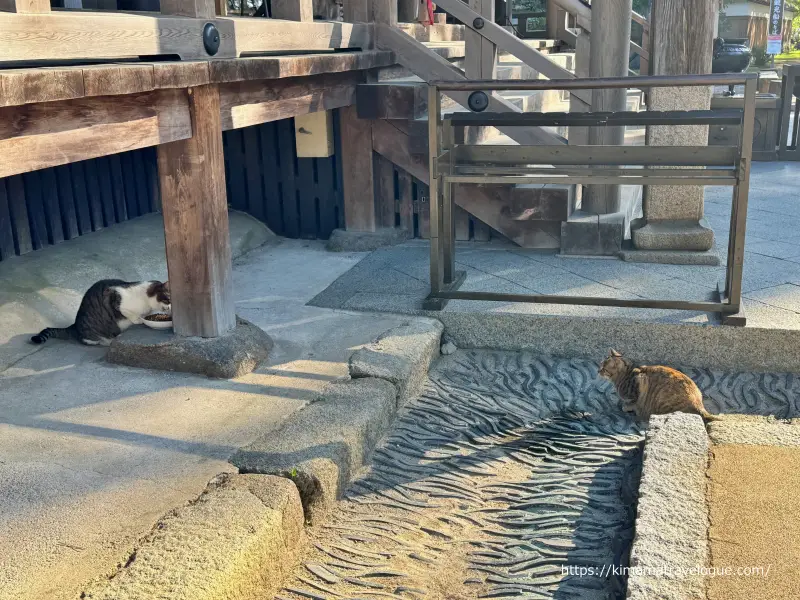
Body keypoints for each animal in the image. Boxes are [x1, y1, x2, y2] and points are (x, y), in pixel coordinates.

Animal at [30, 280, 170, 346]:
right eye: (168, 299)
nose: (170, 308)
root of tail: (74, 326)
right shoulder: (117, 301)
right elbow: (130, 314)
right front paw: (139, 319)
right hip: (93, 335)